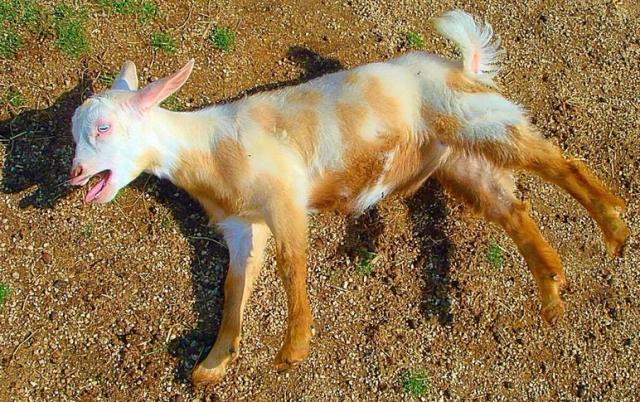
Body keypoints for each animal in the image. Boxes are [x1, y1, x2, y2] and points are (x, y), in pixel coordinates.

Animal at [69, 10, 629, 386]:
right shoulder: (242, 226)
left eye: (104, 127)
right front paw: (213, 361)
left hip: (475, 117)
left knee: (560, 162)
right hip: (462, 162)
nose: (74, 174)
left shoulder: (284, 195)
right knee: (514, 209)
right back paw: (552, 289)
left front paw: (293, 348)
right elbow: (233, 288)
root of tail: (460, 67)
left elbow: (292, 265)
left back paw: (614, 225)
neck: (210, 148)